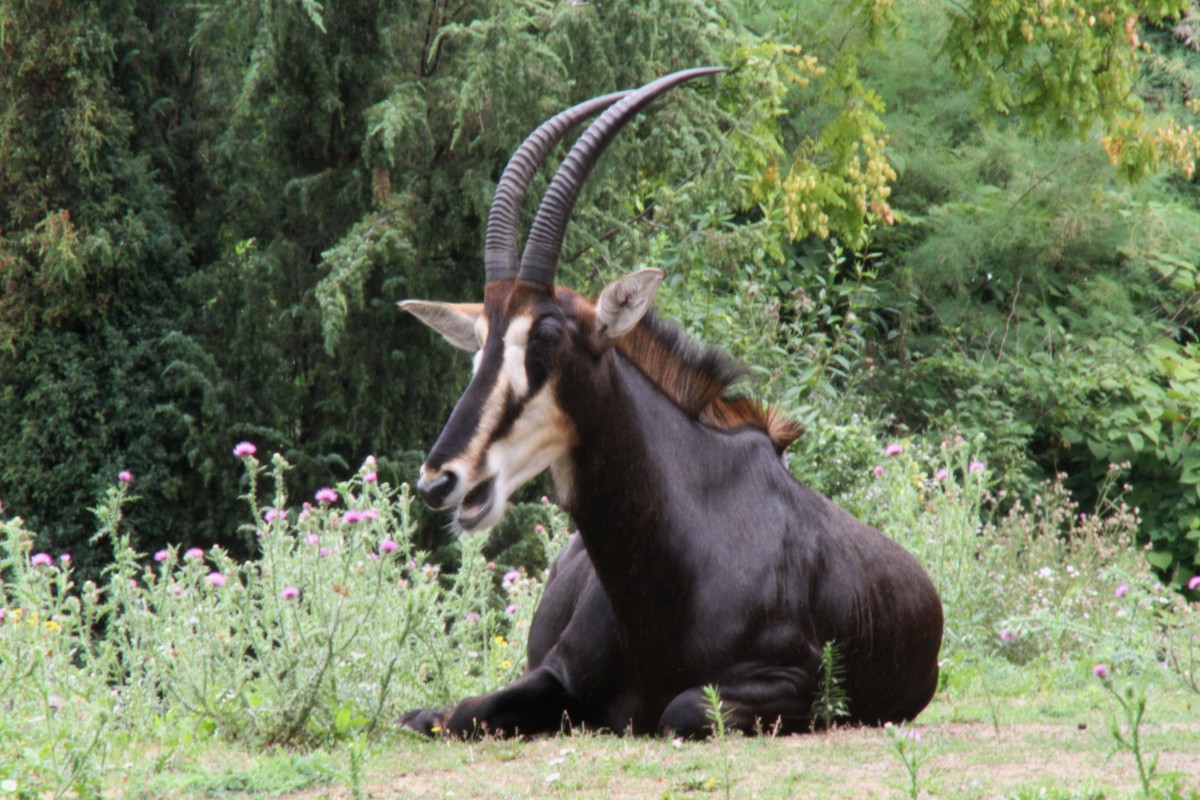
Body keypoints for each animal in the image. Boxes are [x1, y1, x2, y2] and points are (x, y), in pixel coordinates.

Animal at [398, 68, 940, 738]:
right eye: (479, 345)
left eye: (546, 338)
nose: (440, 481)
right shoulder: (556, 672)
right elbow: (464, 710)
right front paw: (426, 710)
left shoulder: (800, 685)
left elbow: (682, 708)